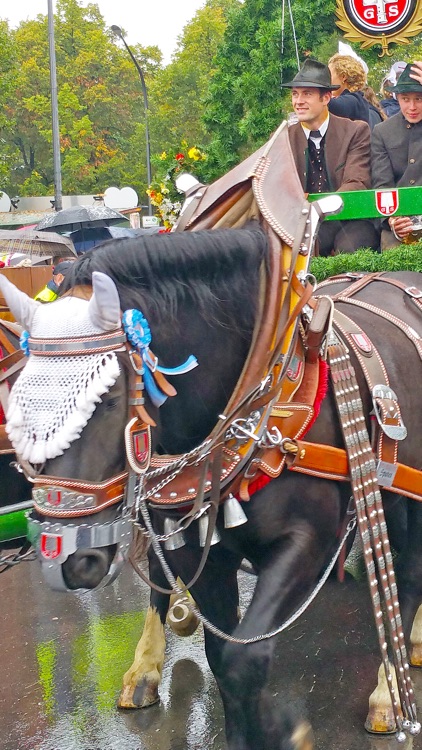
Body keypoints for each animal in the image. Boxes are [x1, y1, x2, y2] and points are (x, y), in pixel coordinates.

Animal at [2, 229, 422, 750]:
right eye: (19, 397)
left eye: (112, 398)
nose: (67, 556)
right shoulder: (196, 553)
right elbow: (221, 657)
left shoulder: (309, 543)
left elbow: (245, 659)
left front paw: (289, 732)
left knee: (407, 573)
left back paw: (389, 690)